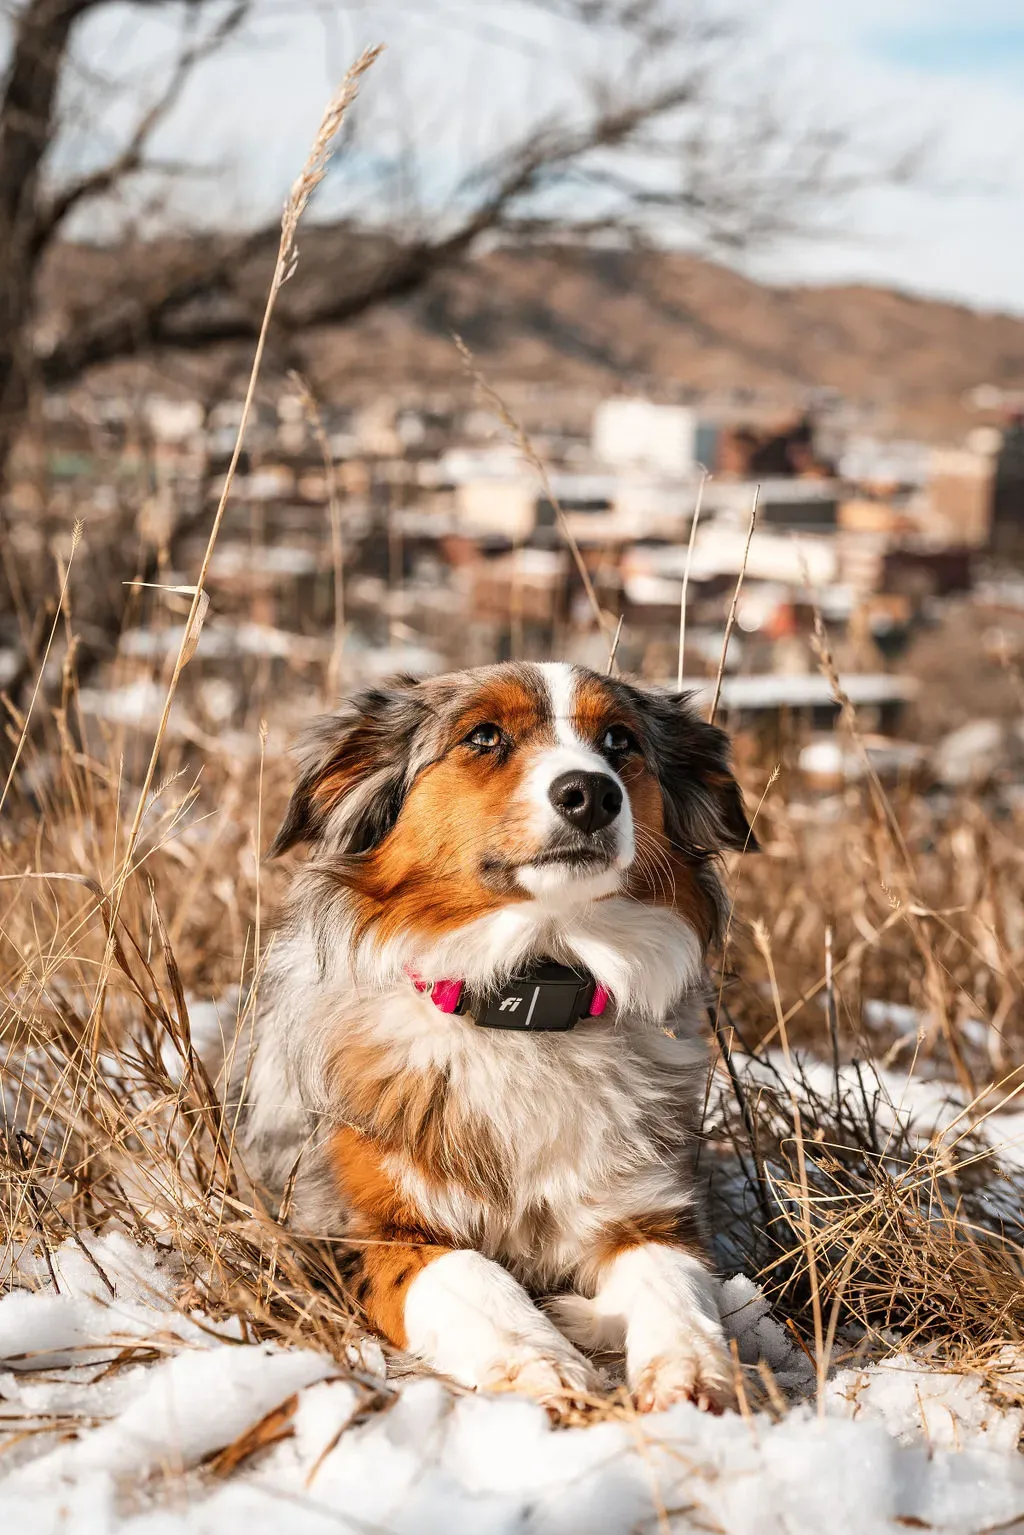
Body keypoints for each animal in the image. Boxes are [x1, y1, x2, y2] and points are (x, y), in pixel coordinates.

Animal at [236, 660, 758, 1412]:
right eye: (483, 736)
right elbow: (471, 1273)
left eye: (619, 740)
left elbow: (675, 1282)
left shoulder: (650, 1208)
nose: (590, 793)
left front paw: (691, 1368)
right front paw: (540, 1361)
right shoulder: (356, 1229)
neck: (527, 1001)